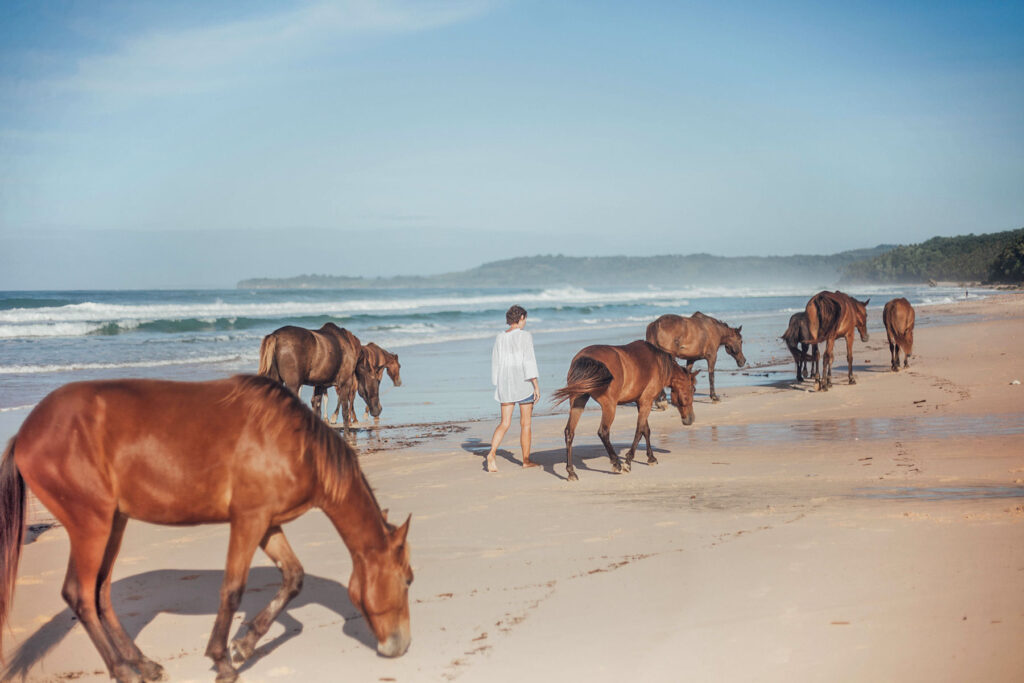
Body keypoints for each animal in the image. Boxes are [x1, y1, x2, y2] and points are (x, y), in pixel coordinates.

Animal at [0, 375, 412, 683]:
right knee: (81, 594)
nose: (402, 645)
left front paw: (243, 646)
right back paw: (123, 670)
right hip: (92, 524)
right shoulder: (248, 520)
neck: (293, 441)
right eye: (407, 580)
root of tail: (26, 432)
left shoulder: (267, 524)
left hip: (114, 523)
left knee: (100, 593)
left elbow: (293, 578)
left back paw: (144, 664)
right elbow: (232, 590)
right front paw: (223, 659)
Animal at [552, 340, 699, 482]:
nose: (691, 419)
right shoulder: (646, 401)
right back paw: (616, 463)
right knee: (603, 432)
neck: (658, 363)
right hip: (609, 406)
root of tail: (586, 358)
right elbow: (639, 430)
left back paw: (571, 472)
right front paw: (628, 462)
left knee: (569, 432)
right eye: (693, 389)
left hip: (578, 401)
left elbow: (646, 430)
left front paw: (651, 458)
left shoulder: (640, 402)